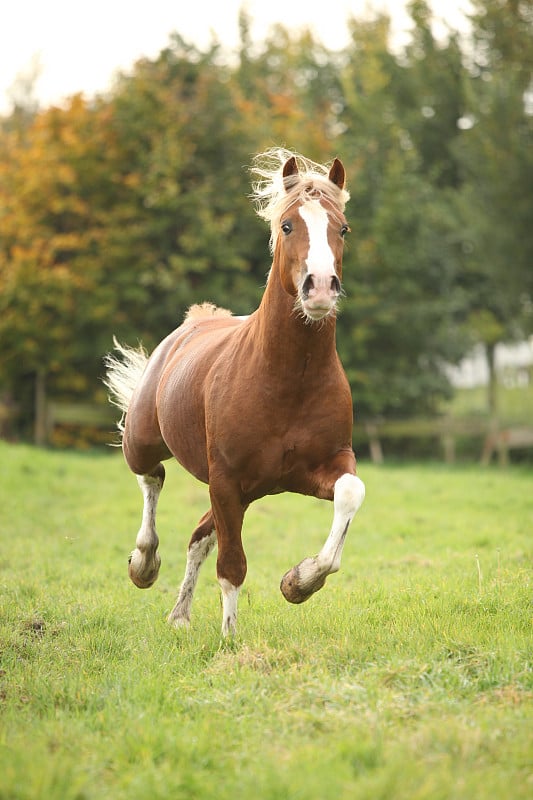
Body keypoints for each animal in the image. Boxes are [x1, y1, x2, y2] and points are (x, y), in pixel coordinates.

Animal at [106, 148, 368, 636]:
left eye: (342, 227)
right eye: (288, 225)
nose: (321, 287)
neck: (287, 379)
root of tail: (193, 322)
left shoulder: (321, 467)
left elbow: (349, 493)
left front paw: (298, 582)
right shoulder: (226, 479)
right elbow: (232, 565)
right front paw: (230, 638)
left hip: (244, 492)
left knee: (197, 536)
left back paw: (179, 616)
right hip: (149, 444)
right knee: (152, 479)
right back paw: (144, 565)